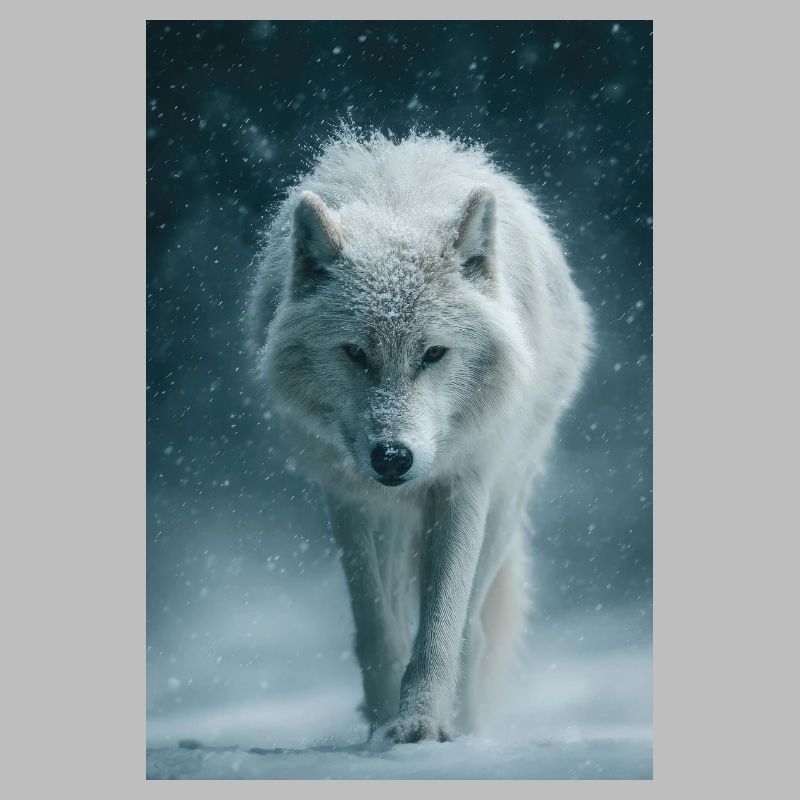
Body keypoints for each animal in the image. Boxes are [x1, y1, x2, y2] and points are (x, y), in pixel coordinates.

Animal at [247, 131, 591, 743]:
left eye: (433, 353)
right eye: (355, 353)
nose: (392, 458)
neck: (398, 207)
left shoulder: (463, 483)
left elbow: (440, 629)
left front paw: (421, 724)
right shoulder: (350, 498)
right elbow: (377, 628)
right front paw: (384, 721)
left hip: (505, 504)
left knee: (473, 630)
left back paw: (469, 726)